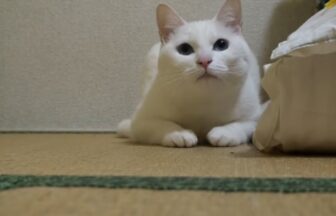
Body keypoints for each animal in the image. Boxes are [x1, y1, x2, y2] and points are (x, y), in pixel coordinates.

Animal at [117, 0, 262, 147]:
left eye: (221, 44)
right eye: (185, 49)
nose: (204, 60)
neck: (203, 101)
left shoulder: (256, 115)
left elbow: (243, 124)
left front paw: (225, 132)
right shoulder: (141, 121)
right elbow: (162, 124)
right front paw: (179, 133)